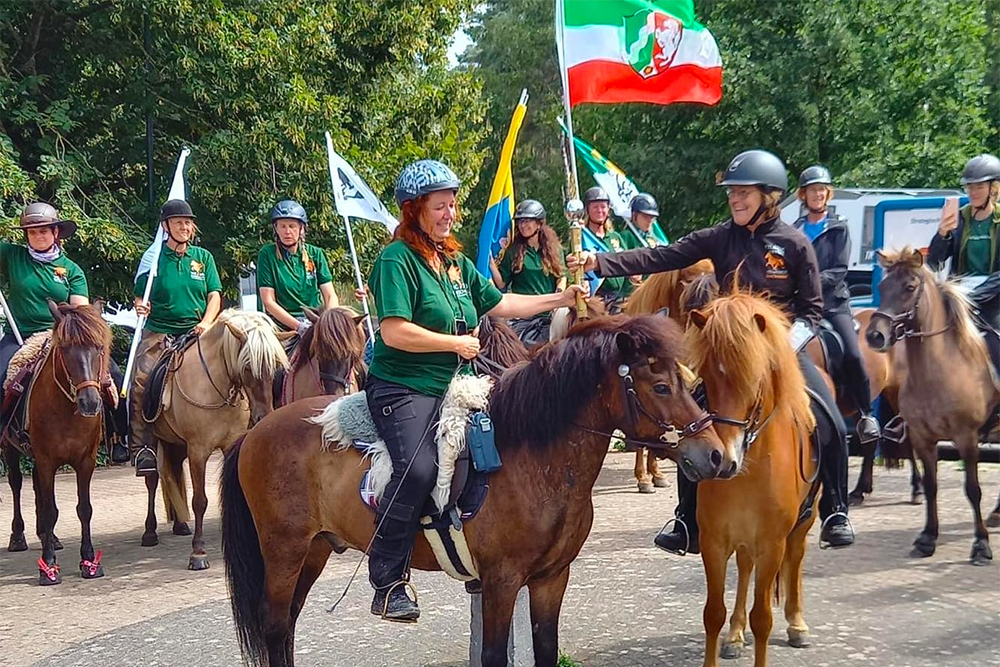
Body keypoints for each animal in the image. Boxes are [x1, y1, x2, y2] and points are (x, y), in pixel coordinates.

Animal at [1, 302, 113, 584]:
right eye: (64, 348)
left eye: (99, 347)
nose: (89, 402)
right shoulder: (46, 460)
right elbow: (51, 509)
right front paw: (49, 566)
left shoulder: (86, 461)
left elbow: (84, 509)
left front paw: (89, 561)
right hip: (10, 449)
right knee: (17, 485)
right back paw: (19, 537)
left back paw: (48, 536)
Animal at [143, 310, 290, 572]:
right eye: (247, 366)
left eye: (275, 366)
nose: (263, 416)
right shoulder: (198, 451)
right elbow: (200, 501)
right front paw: (198, 552)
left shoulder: (228, 445)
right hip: (157, 442)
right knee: (152, 480)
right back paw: (150, 532)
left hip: (176, 446)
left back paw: (180, 524)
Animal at [219, 314, 736, 667]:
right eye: (661, 385)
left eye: (687, 379)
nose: (715, 455)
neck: (532, 458)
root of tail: (256, 431)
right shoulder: (501, 583)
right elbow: (492, 655)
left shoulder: (551, 579)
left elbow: (545, 650)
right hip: (284, 551)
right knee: (273, 625)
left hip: (314, 550)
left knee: (285, 625)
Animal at [688, 290, 820, 664]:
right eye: (706, 378)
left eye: (755, 379)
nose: (722, 461)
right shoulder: (713, 541)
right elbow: (712, 613)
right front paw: (729, 633)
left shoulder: (772, 543)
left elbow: (763, 618)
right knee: (745, 567)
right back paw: (735, 634)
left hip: (804, 522)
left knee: (797, 558)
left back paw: (797, 624)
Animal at [864, 248, 996, 568]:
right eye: (882, 286)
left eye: (910, 287)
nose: (875, 336)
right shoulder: (923, 438)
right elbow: (932, 485)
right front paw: (927, 538)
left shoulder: (966, 437)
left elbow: (973, 490)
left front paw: (981, 545)